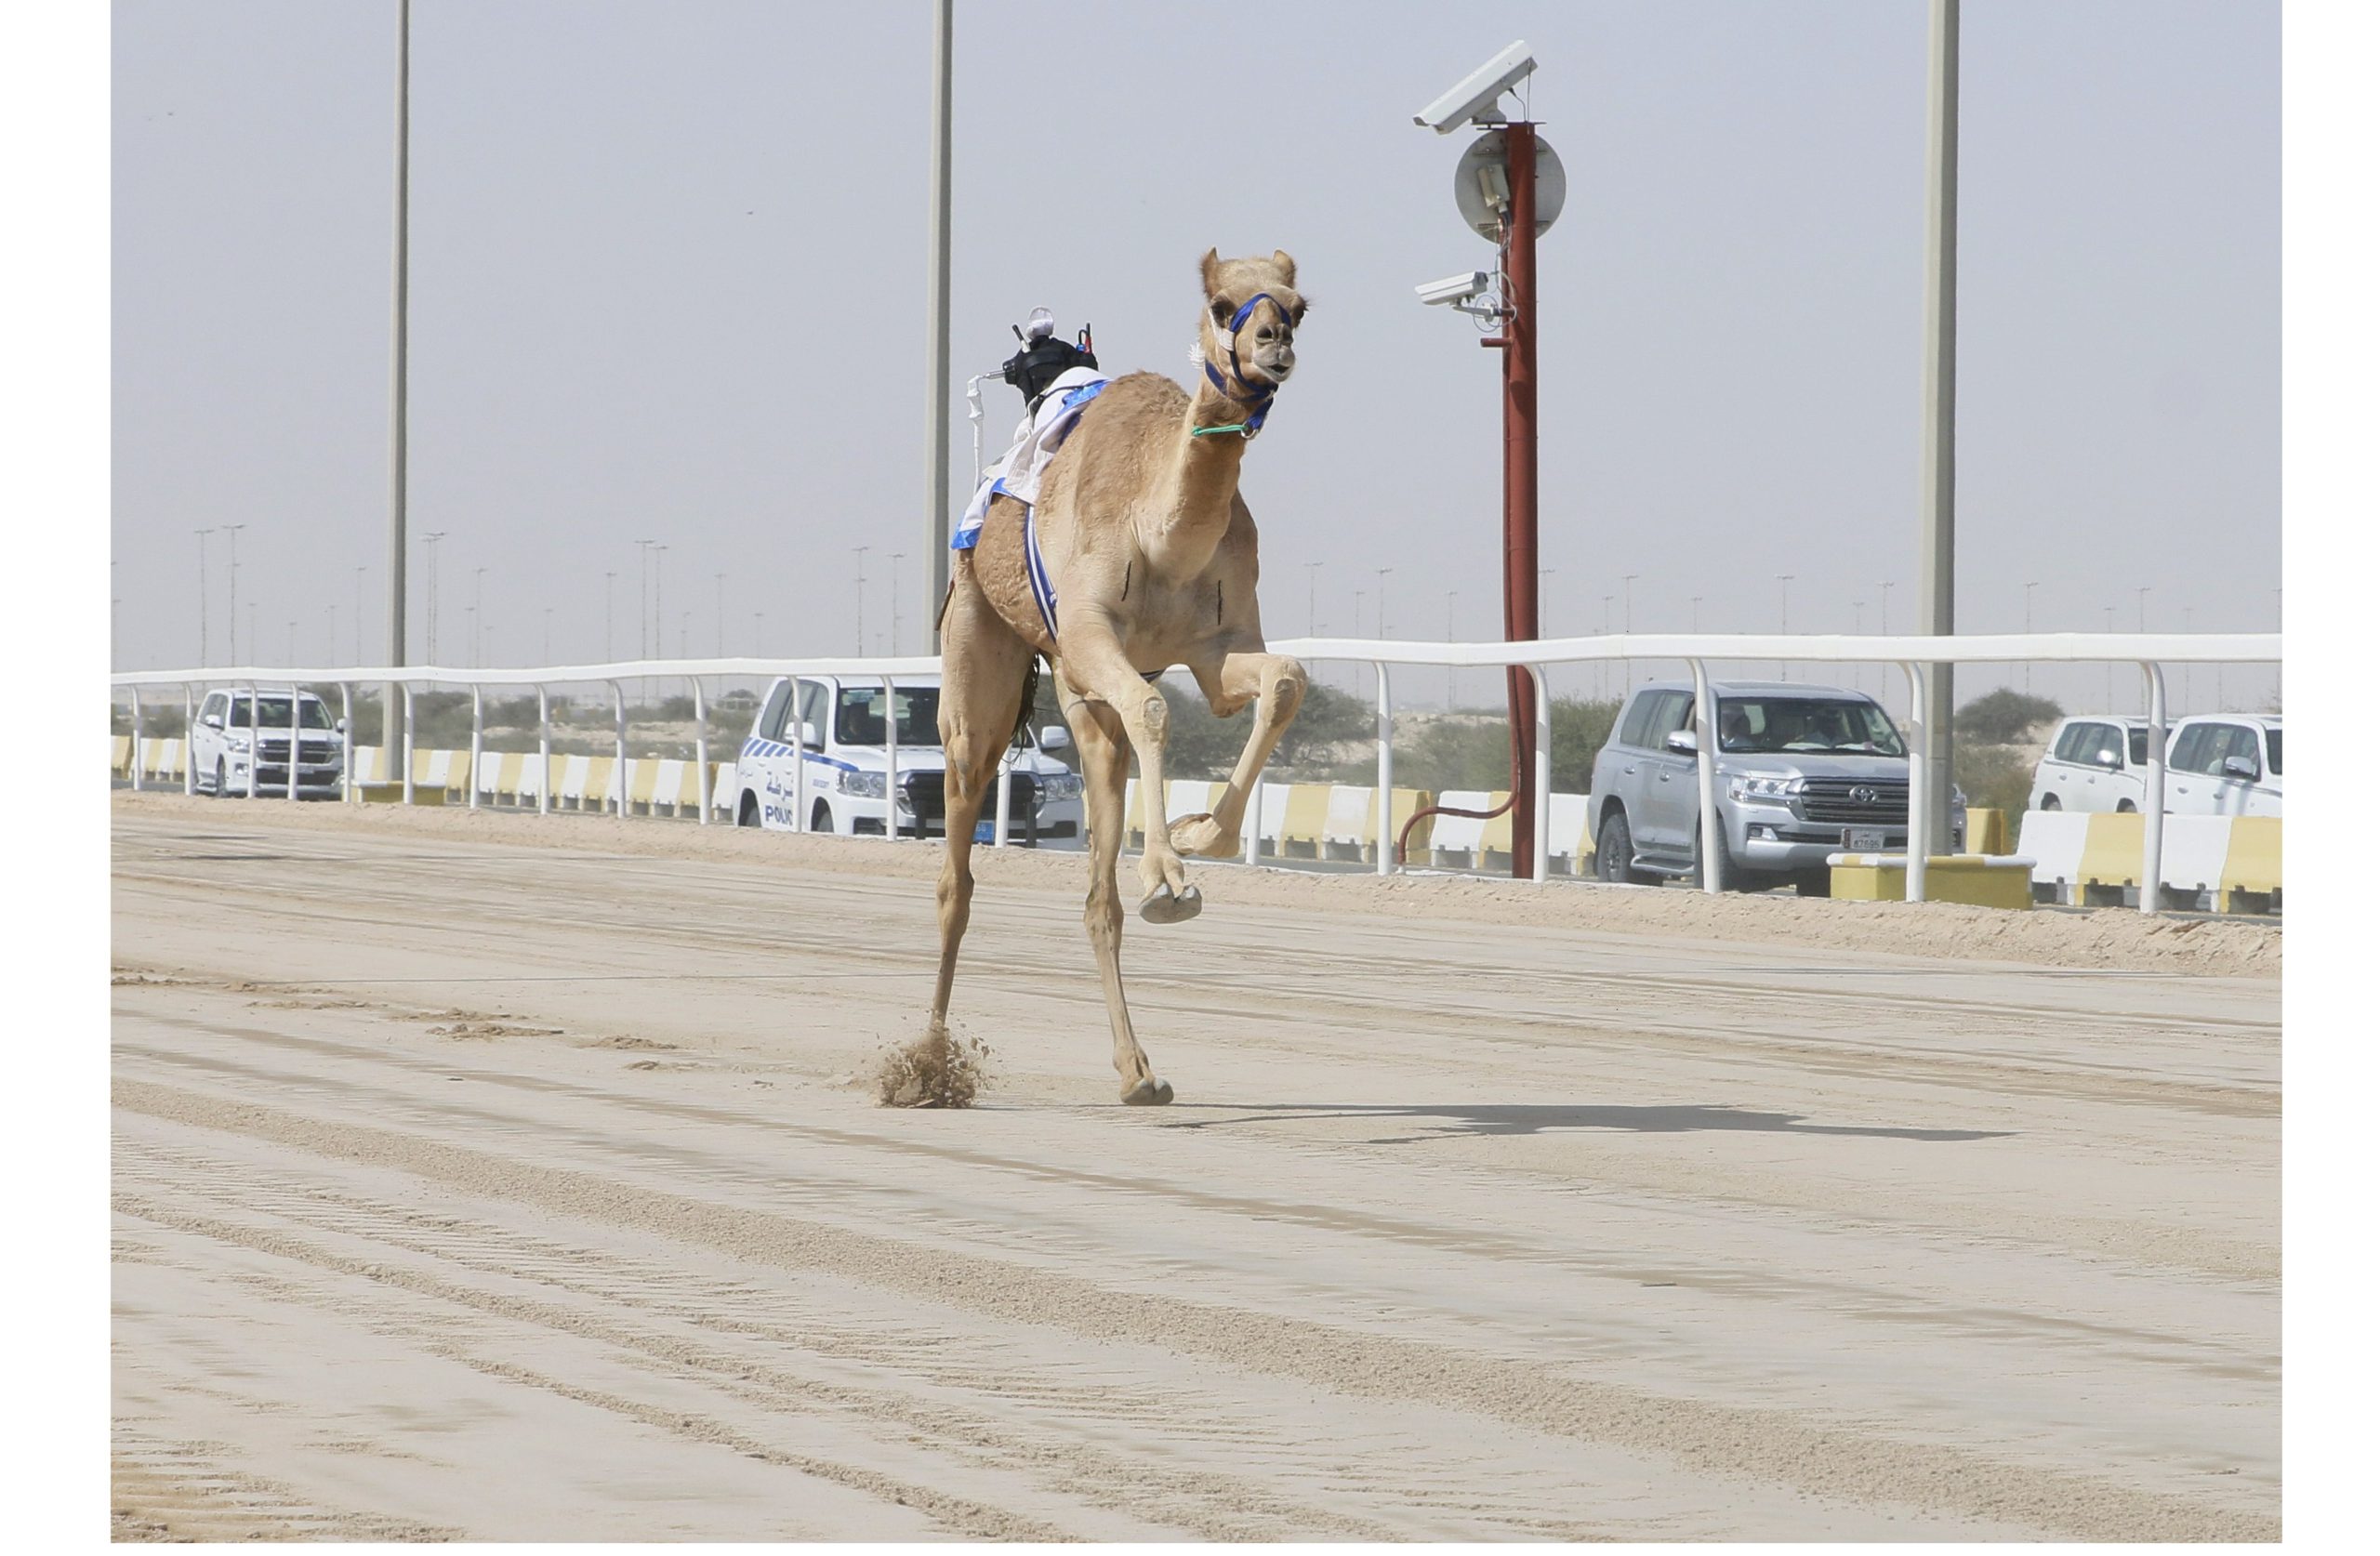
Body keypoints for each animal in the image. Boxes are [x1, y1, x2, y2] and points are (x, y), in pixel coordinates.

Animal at [928, 249, 1314, 1103]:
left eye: (1300, 305)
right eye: (1223, 304)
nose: (1273, 344)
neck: (1161, 528)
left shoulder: (1217, 646)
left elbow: (1284, 679)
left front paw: (1204, 835)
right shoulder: (1089, 629)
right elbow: (1155, 710)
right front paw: (1168, 875)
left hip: (1077, 697)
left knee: (1097, 888)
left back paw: (1139, 1072)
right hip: (980, 646)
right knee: (957, 864)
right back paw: (924, 1063)